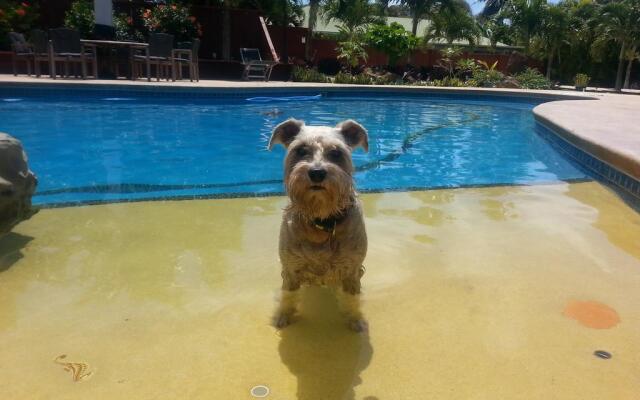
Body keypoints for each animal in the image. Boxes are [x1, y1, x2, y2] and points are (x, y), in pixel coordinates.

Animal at [266, 118, 368, 332]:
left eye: (336, 153)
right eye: (301, 150)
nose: (317, 172)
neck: (322, 221)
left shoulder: (352, 272)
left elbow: (352, 300)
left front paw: (355, 320)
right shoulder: (291, 271)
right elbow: (288, 297)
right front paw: (283, 316)